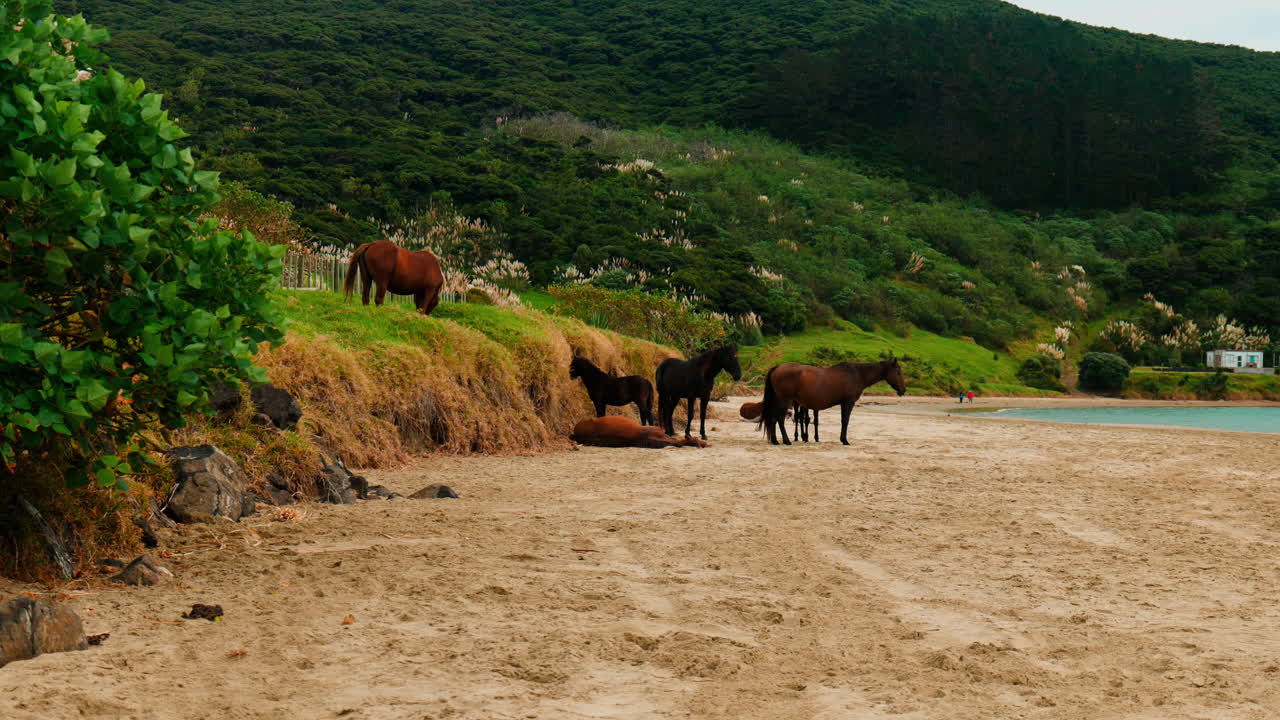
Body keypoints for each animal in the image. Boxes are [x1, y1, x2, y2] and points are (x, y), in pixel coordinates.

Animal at [759, 358, 907, 446]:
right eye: (898, 372)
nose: (903, 390)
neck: (858, 374)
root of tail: (777, 368)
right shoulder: (848, 402)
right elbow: (845, 420)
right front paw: (844, 440)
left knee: (773, 419)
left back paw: (775, 440)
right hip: (785, 400)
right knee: (779, 419)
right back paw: (786, 440)